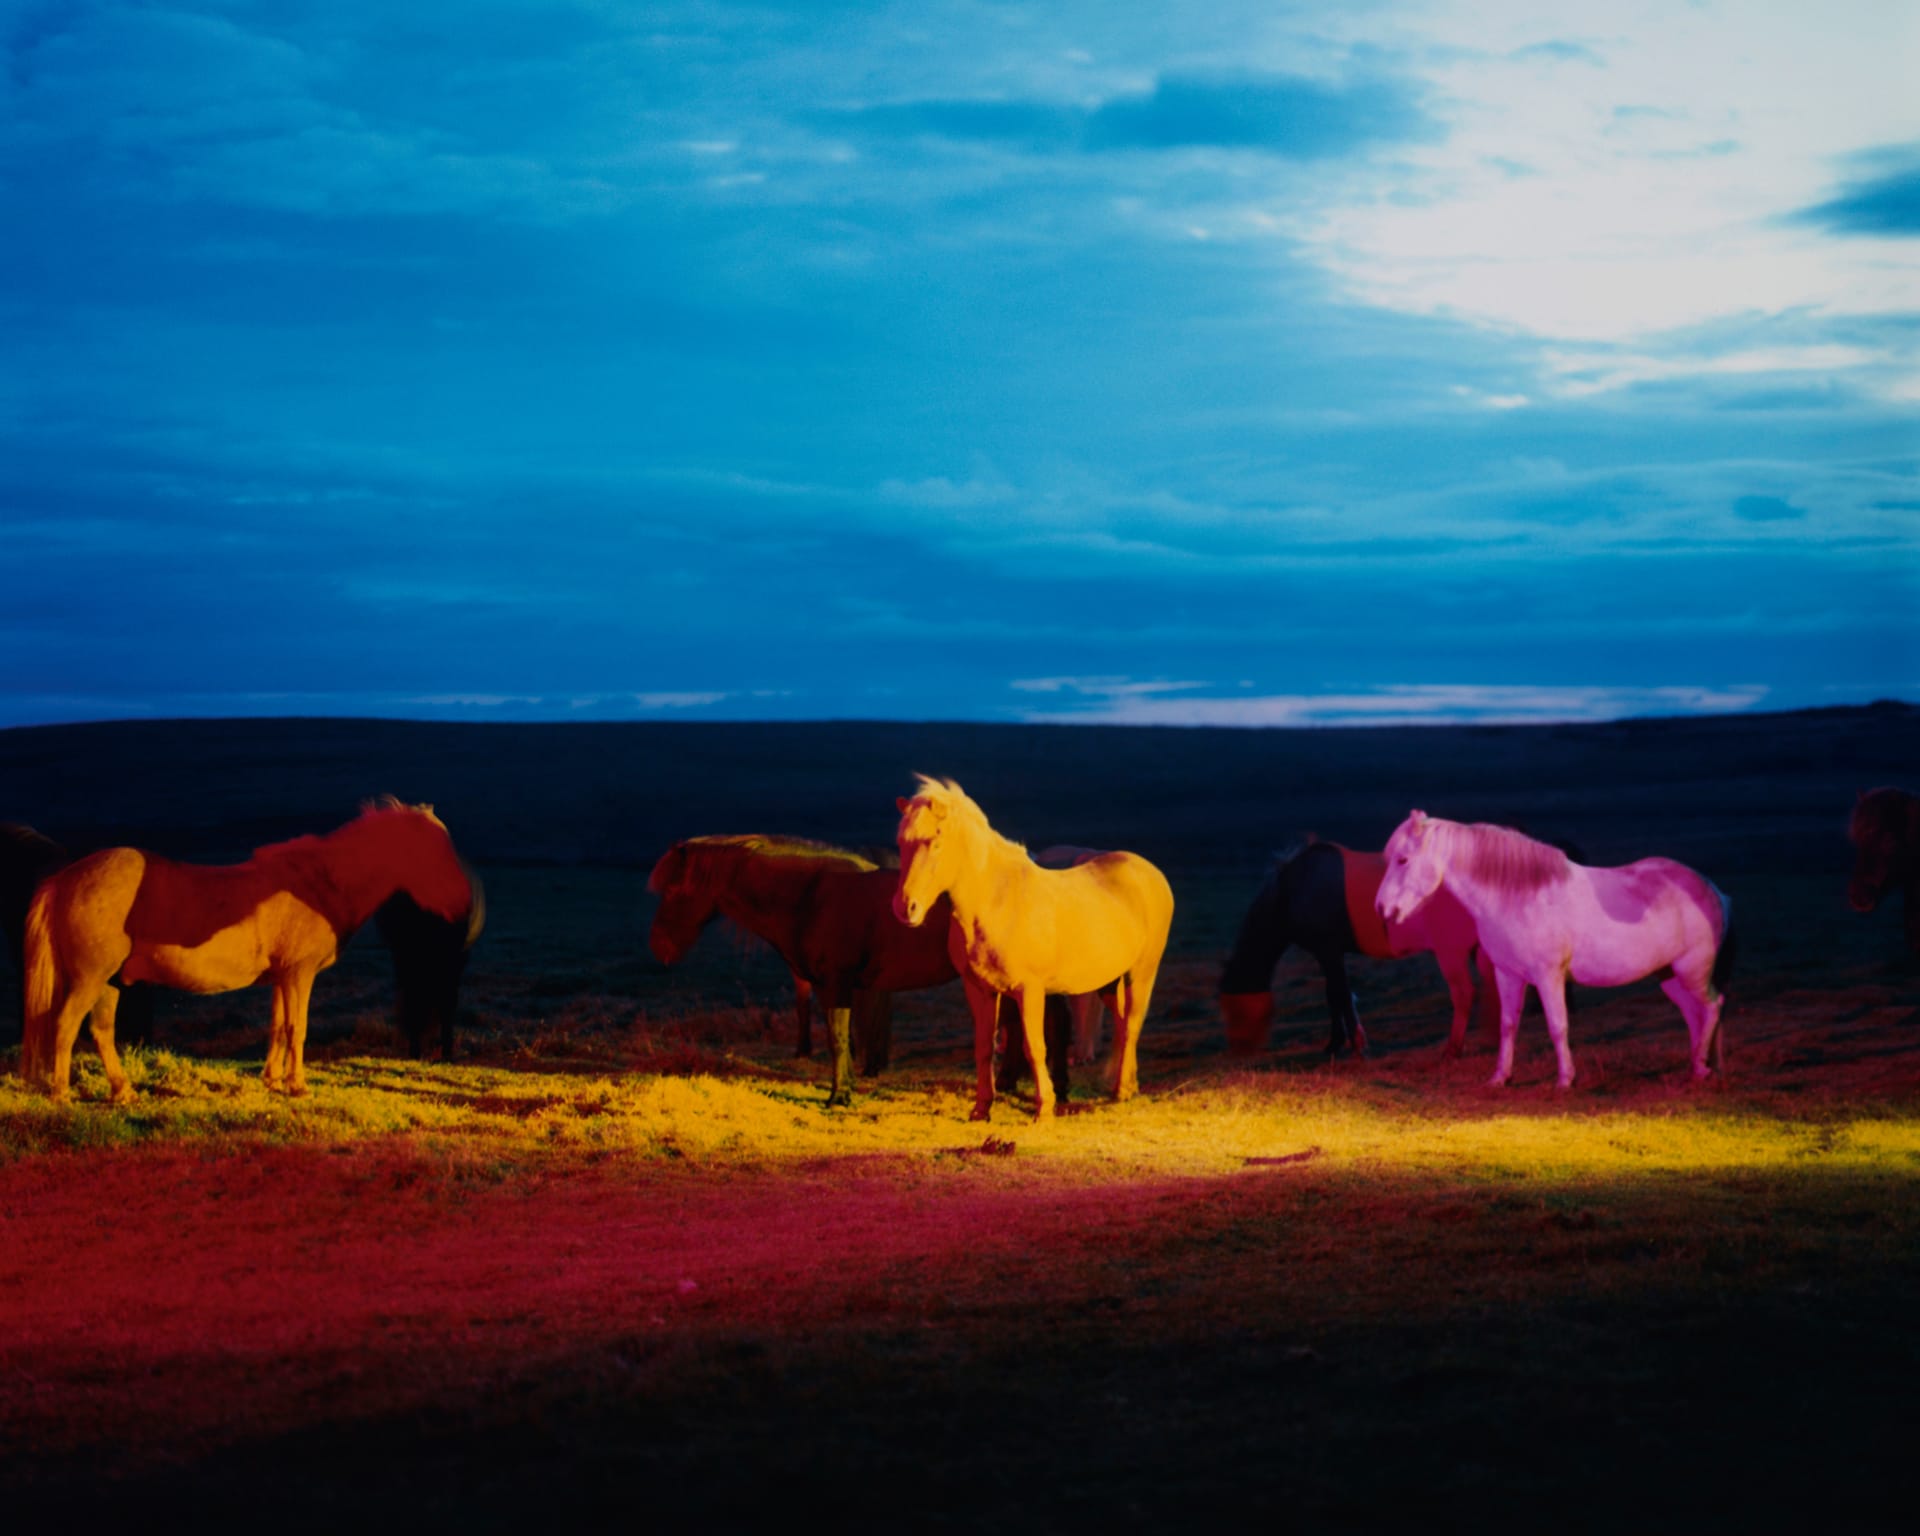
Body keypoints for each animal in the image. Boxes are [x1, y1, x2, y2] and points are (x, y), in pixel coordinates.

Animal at [23, 802, 476, 1105]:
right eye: (430, 846)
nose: (462, 901)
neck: (319, 883)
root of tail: (67, 876)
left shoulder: (281, 979)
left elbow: (277, 1027)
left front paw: (272, 1080)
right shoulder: (299, 975)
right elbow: (297, 1029)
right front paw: (297, 1085)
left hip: (111, 981)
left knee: (101, 1031)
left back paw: (123, 1092)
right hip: (89, 978)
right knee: (64, 1026)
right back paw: (61, 1094)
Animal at [883, 775, 1167, 1121]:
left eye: (935, 842)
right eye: (901, 843)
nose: (905, 908)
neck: (996, 901)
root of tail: (1149, 872)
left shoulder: (1029, 990)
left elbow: (1034, 1046)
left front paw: (1044, 1108)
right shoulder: (980, 990)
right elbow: (983, 1047)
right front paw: (981, 1108)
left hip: (1141, 974)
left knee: (1133, 1024)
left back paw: (1123, 1091)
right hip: (1109, 982)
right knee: (1124, 1023)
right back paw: (1127, 1085)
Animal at [1213, 844, 1497, 1059]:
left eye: (1234, 1011)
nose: (1239, 1051)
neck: (1292, 889)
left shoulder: (1328, 951)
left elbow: (1339, 994)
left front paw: (1354, 1044)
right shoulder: (1328, 954)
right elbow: (1335, 995)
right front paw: (1339, 1042)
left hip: (1451, 951)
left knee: (1464, 993)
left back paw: (1453, 1049)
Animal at [1374, 814, 1735, 1090]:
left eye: (1403, 860)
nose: (1382, 908)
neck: (1518, 896)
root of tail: (1712, 890)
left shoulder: (1549, 977)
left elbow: (1557, 1026)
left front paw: (1565, 1080)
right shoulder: (1508, 975)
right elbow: (1508, 1025)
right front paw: (1500, 1077)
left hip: (1691, 972)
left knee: (1712, 1006)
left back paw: (1700, 1068)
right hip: (1670, 976)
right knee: (1695, 1014)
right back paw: (1699, 1067)